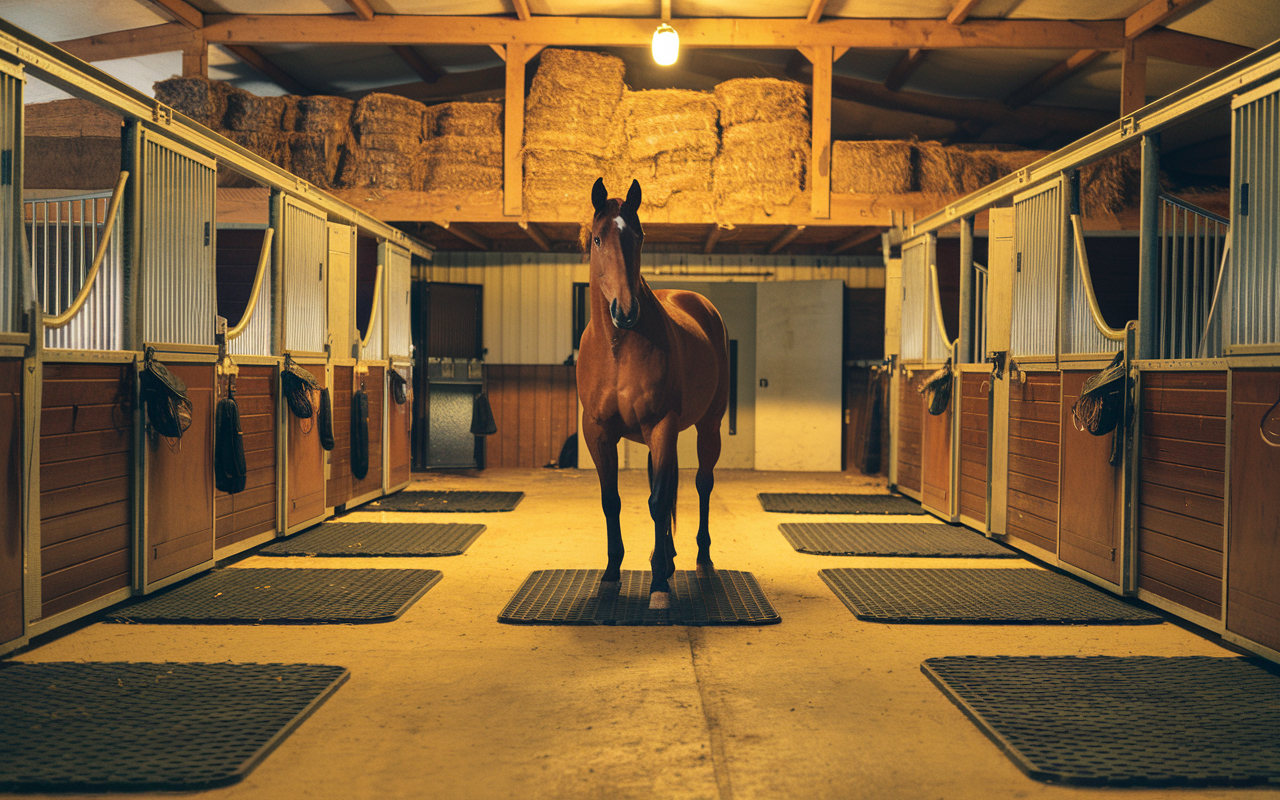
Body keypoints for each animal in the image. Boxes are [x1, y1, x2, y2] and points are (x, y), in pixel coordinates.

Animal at [578, 177, 732, 609]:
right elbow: (612, 500)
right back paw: (665, 556)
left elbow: (660, 500)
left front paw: (660, 585)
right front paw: (612, 573)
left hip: (708, 427)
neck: (617, 349)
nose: (626, 311)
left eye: (639, 237)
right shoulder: (597, 432)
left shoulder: (661, 425)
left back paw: (700, 559)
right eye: (598, 238)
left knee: (701, 484)